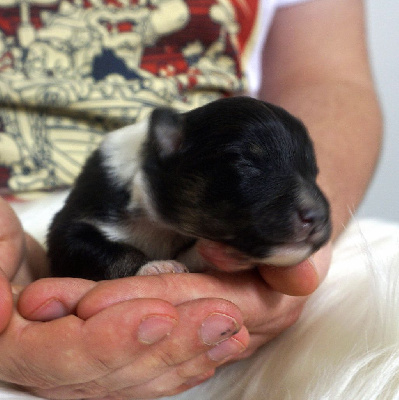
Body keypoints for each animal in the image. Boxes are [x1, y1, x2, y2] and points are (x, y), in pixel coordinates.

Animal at [47, 97, 332, 280]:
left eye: (315, 172)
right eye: (245, 162)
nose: (318, 217)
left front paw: (220, 254)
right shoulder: (78, 219)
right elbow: (102, 249)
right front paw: (153, 266)